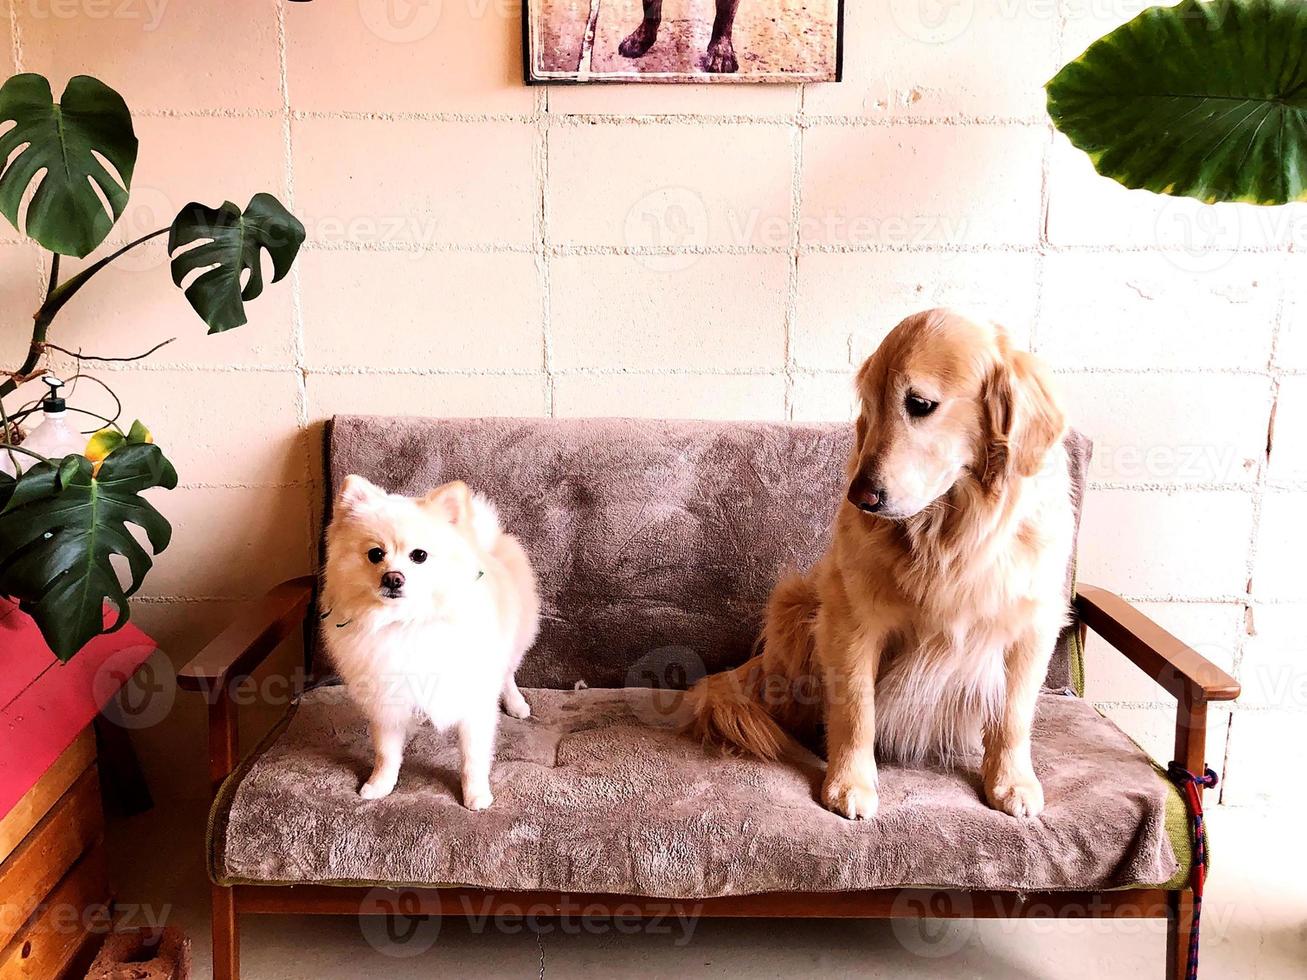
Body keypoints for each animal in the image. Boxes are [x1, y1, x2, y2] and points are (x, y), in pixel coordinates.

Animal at [318, 478, 538, 815]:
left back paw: (516, 704)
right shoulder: (387, 699)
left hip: (512, 645)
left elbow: (473, 756)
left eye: (419, 556)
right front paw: (380, 785)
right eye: (375, 554)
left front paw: (475, 795)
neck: (406, 621)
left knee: (508, 675)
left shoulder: (473, 699)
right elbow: (387, 752)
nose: (393, 578)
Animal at [684, 307, 1071, 820]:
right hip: (796, 606)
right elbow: (855, 709)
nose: (860, 497)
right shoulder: (851, 620)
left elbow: (1014, 716)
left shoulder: (1033, 626)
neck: (949, 533)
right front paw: (849, 782)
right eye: (869, 404)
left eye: (920, 404)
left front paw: (1012, 782)